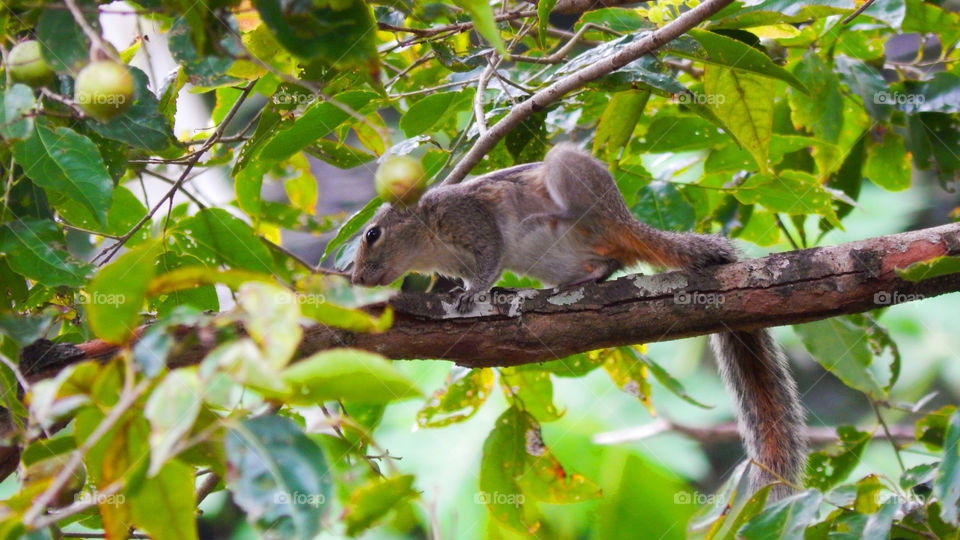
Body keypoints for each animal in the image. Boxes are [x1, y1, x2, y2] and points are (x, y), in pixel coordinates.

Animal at [351, 143, 806, 496]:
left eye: (372, 234)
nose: (355, 279)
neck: (430, 238)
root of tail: (627, 221)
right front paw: (467, 290)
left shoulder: (472, 221)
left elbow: (490, 258)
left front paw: (474, 293)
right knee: (607, 264)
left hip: (574, 180)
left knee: (602, 235)